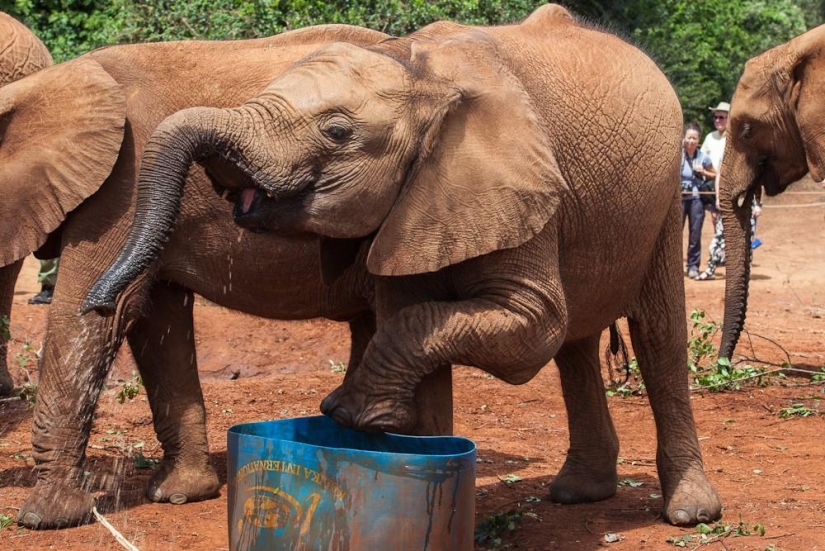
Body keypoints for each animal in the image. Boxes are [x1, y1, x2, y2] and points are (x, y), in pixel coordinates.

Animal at [88, 4, 722, 526]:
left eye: (336, 131)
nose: (100, 300)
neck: (421, 74)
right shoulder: (416, 201)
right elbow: (414, 319)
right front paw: (407, 447)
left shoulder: (520, 182)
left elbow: (531, 329)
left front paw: (351, 413)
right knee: (577, 347)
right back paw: (578, 494)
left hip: (667, 203)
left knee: (656, 336)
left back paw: (689, 513)